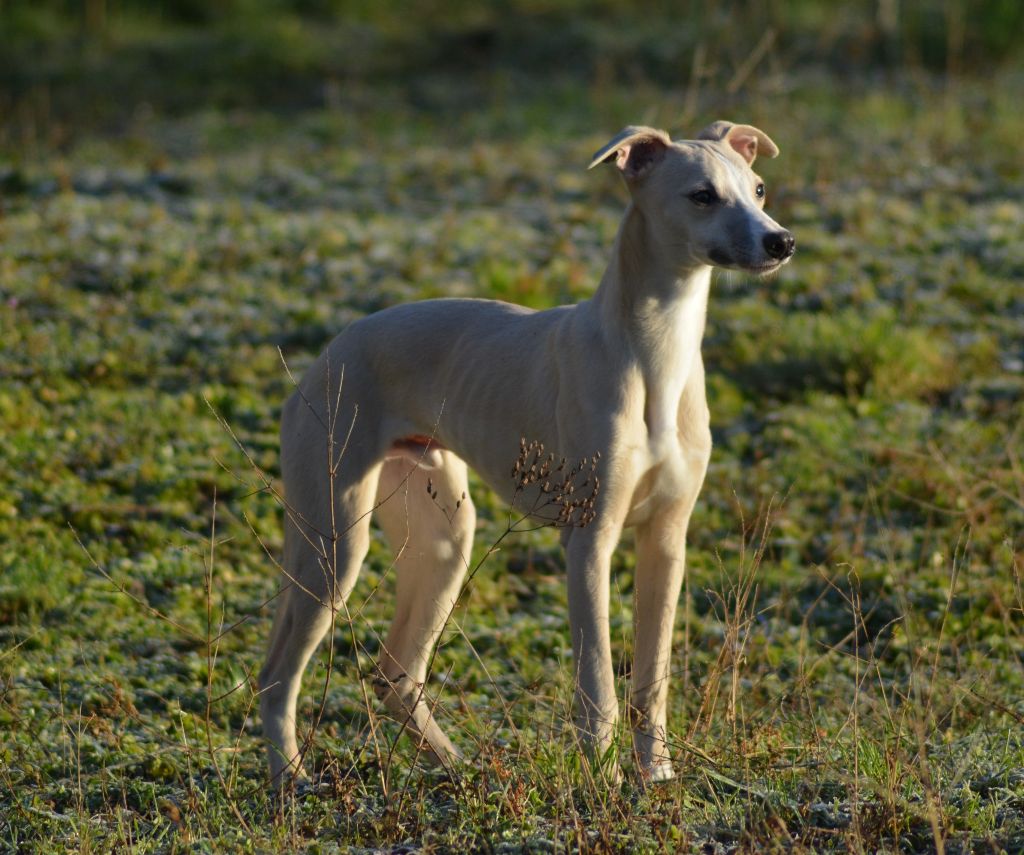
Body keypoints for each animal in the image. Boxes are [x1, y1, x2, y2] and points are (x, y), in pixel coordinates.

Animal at [260, 120, 794, 790]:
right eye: (702, 195)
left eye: (759, 188)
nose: (782, 242)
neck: (655, 354)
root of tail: (325, 356)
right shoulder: (589, 541)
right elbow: (598, 681)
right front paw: (604, 783)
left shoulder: (667, 541)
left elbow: (652, 680)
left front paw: (658, 778)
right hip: (335, 542)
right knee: (279, 674)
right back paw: (291, 779)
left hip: (442, 537)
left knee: (394, 673)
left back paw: (459, 769)